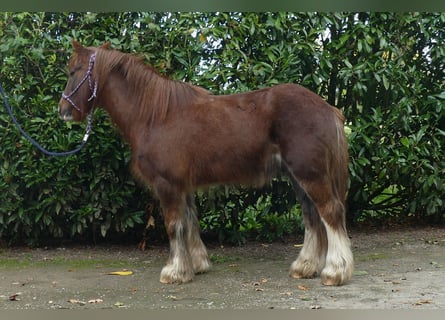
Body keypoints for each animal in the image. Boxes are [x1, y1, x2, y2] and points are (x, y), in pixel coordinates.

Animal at [58, 40, 354, 284]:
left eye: (74, 71)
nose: (63, 110)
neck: (155, 115)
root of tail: (328, 108)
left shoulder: (168, 185)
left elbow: (174, 225)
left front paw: (175, 271)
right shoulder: (183, 185)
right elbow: (190, 222)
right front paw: (197, 265)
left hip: (310, 174)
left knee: (330, 212)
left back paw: (335, 272)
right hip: (299, 178)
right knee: (312, 217)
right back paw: (305, 267)